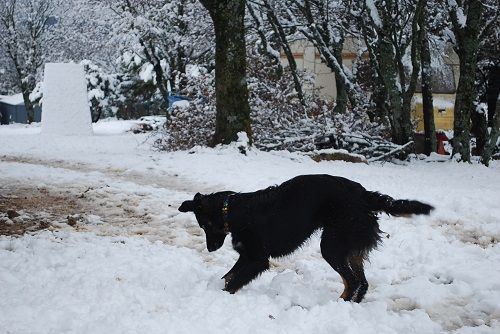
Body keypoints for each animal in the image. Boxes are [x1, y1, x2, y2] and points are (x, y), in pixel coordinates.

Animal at [180, 175, 434, 302]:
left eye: (204, 225)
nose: (211, 249)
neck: (231, 210)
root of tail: (364, 195)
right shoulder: (248, 256)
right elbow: (228, 277)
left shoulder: (257, 258)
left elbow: (232, 281)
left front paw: (220, 296)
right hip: (349, 246)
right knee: (361, 283)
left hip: (331, 245)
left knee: (352, 281)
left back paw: (339, 305)